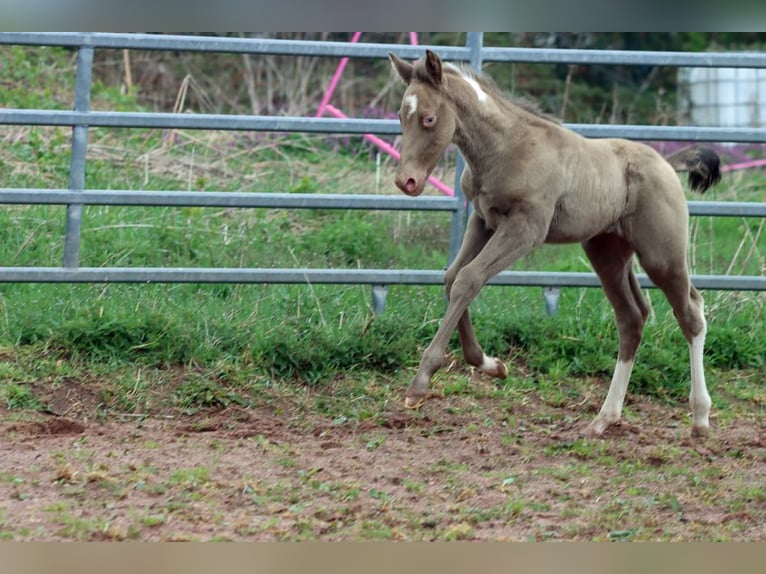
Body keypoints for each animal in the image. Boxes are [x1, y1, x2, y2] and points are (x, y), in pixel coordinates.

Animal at [388, 49, 721, 438]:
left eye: (428, 118)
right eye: (401, 116)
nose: (407, 182)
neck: (506, 147)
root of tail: (667, 165)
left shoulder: (526, 227)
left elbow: (469, 278)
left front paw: (421, 382)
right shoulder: (483, 221)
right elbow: (453, 277)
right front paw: (490, 364)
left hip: (661, 255)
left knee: (691, 313)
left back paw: (700, 418)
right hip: (607, 252)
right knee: (632, 318)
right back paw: (603, 419)